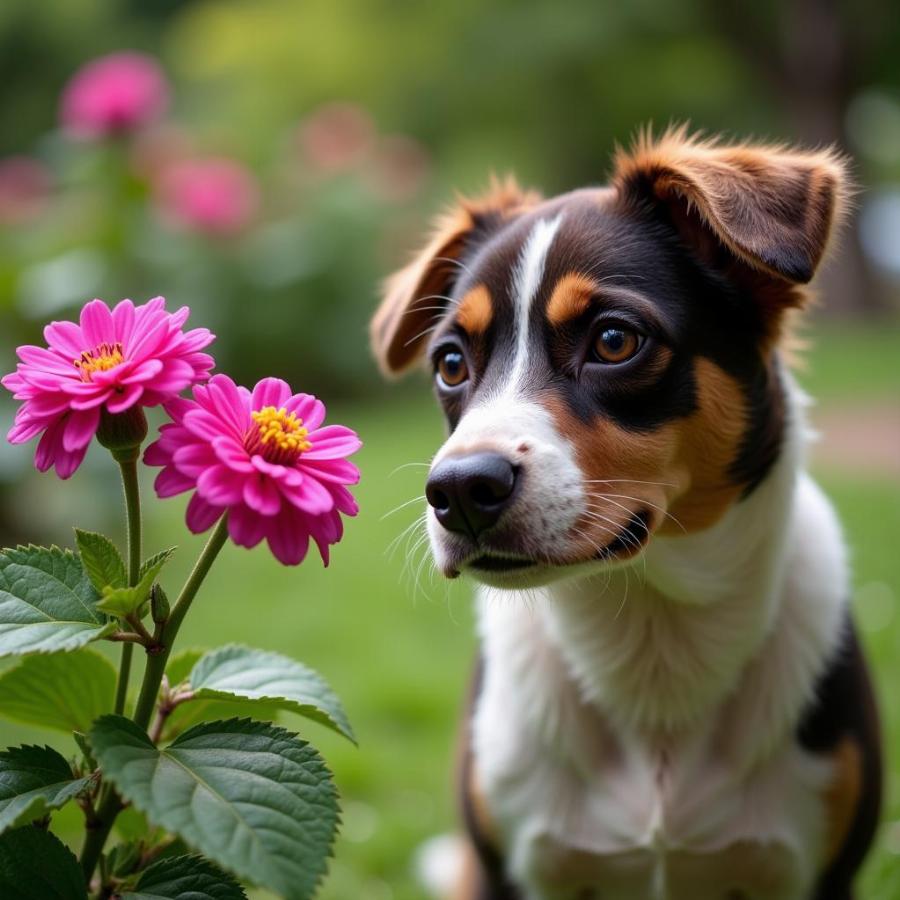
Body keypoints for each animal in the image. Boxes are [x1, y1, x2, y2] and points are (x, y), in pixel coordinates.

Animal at [370, 128, 884, 900]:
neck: (652, 635)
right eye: (451, 363)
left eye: (614, 340)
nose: (458, 490)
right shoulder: (503, 868)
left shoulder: (822, 872)